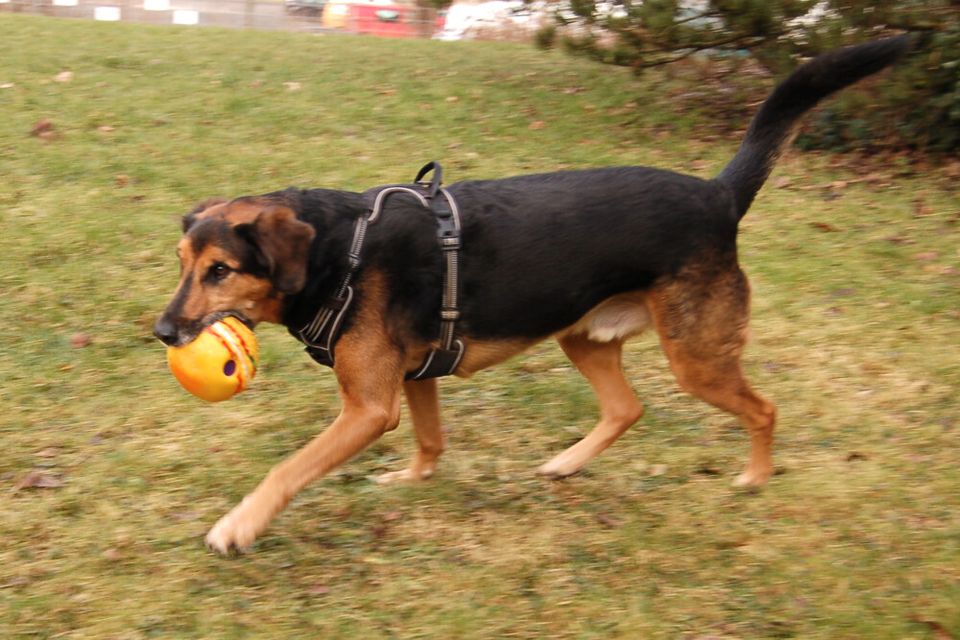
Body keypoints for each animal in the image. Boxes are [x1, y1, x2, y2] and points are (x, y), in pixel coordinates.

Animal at [154, 36, 912, 556]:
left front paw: (238, 525)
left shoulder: (368, 407)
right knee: (627, 408)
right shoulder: (412, 381)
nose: (162, 332)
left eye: (220, 270)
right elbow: (431, 440)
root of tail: (719, 195)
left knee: (763, 408)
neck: (340, 249)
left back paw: (755, 476)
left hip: (696, 358)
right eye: (183, 263)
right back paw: (568, 463)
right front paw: (413, 480)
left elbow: (288, 469)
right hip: (585, 335)